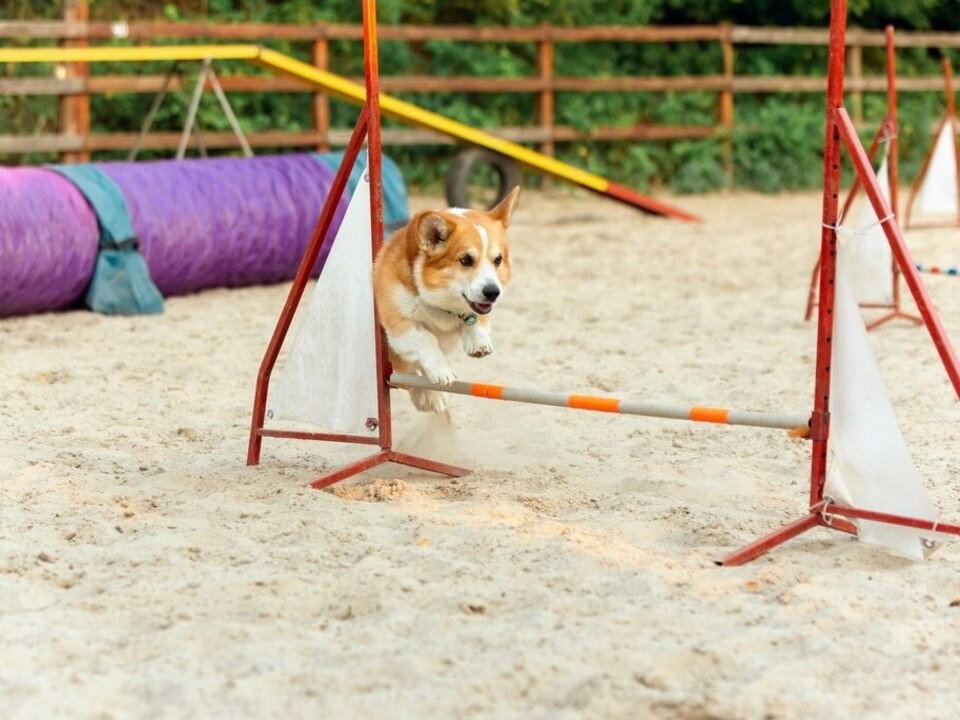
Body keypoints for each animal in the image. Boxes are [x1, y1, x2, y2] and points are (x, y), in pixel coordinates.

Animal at [374, 184, 520, 410]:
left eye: (498, 259)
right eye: (466, 260)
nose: (493, 293)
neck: (441, 304)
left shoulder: (478, 307)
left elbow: (476, 320)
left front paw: (478, 342)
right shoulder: (399, 326)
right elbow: (426, 338)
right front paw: (441, 371)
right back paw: (428, 395)